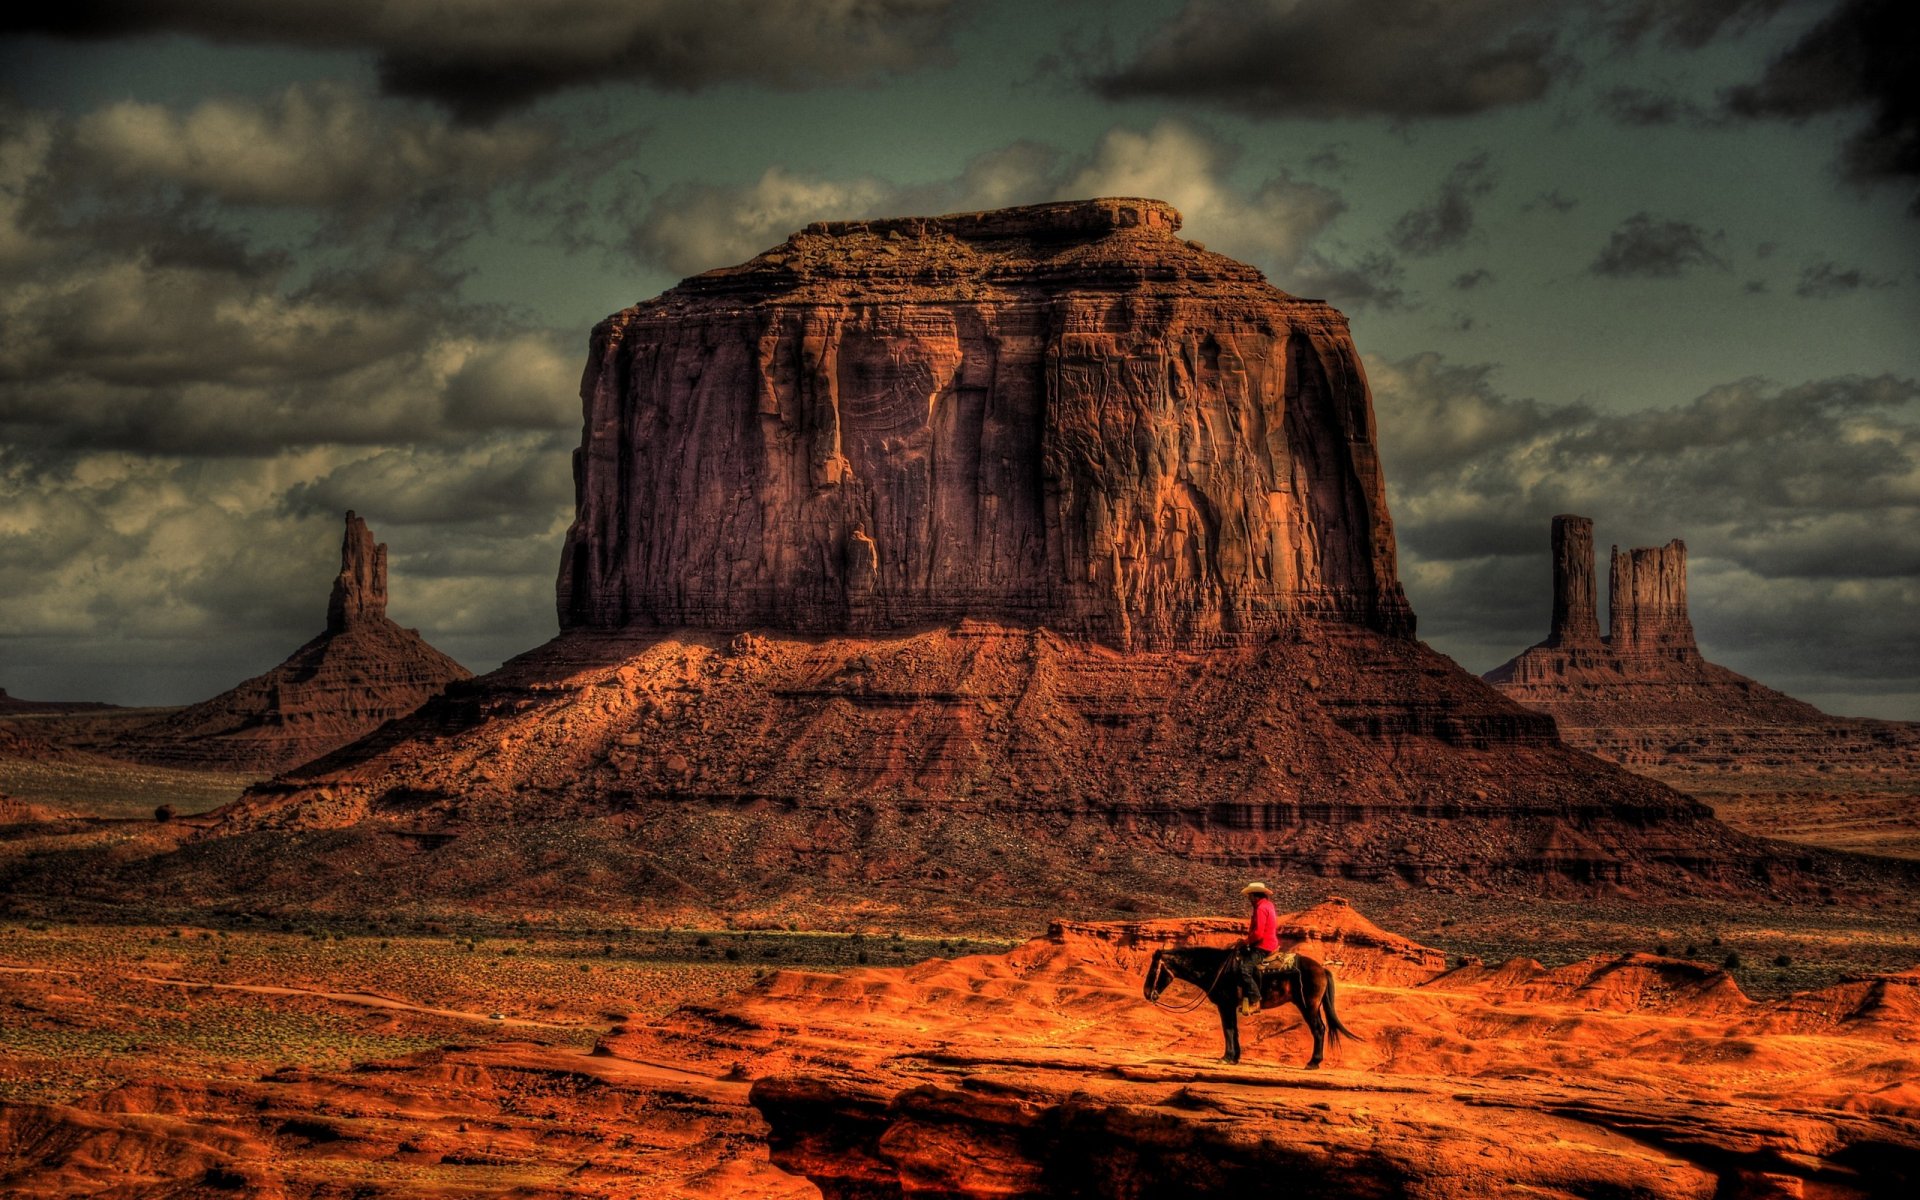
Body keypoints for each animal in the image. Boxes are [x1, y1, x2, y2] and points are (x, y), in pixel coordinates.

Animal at [1136, 940, 1367, 1059]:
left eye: (1153, 970)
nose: (1147, 993)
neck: (1216, 967)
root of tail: (1322, 969)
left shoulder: (1225, 1005)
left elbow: (1228, 1029)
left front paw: (1228, 1057)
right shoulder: (1230, 1006)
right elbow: (1234, 1030)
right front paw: (1235, 1057)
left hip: (1308, 1005)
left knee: (1319, 1029)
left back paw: (1313, 1062)